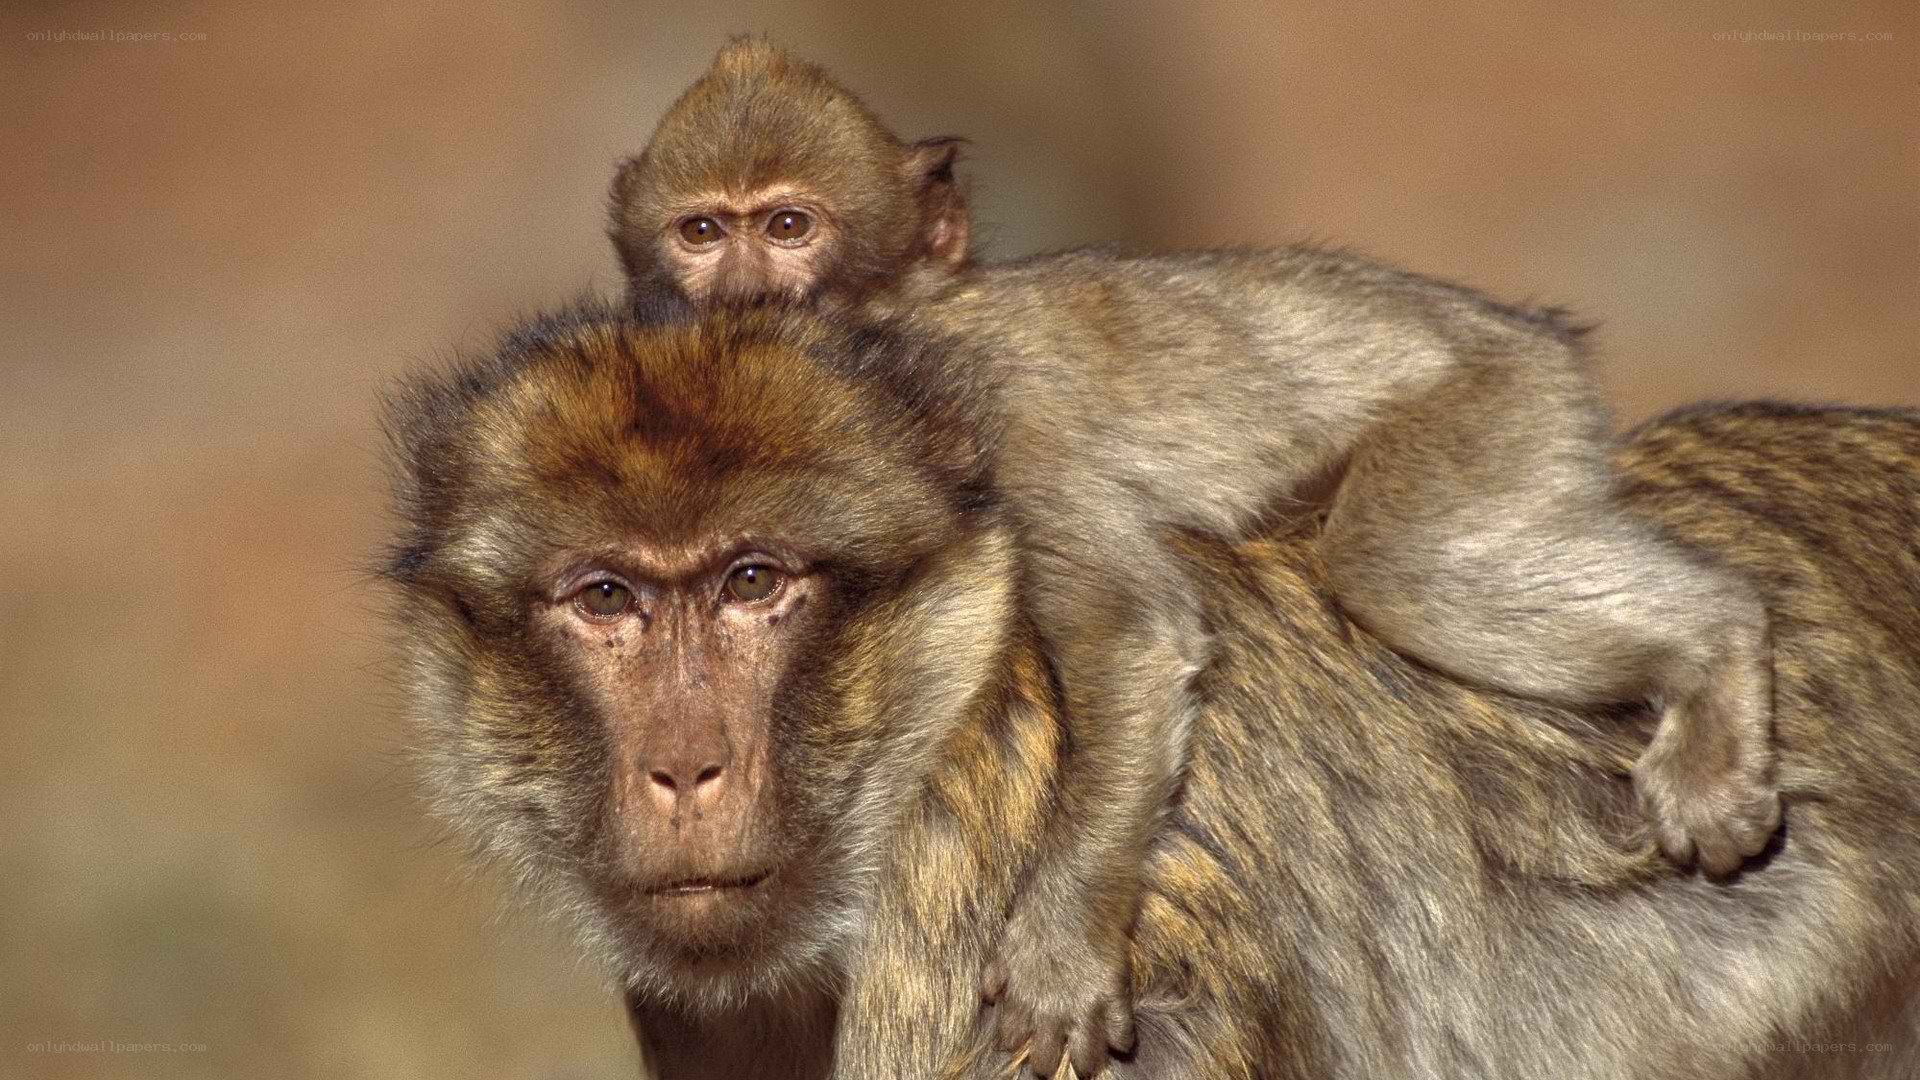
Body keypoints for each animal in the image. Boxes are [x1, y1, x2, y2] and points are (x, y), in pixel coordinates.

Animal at [602, 44, 1784, 1078]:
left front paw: (1060, 949)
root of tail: (1528, 332)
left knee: (1395, 560)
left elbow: (1132, 634)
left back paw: (1718, 644)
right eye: (701, 231)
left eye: (788, 226)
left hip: (1494, 410)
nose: (740, 293)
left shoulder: (997, 410)